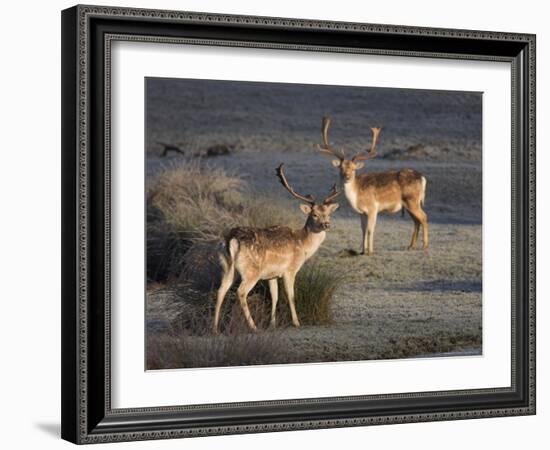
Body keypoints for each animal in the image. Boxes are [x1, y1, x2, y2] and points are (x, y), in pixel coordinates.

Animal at [215, 163, 340, 332]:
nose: (326, 224)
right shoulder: (290, 270)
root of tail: (232, 239)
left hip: (227, 266)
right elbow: (291, 296)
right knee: (241, 292)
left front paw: (272, 324)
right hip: (251, 271)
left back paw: (214, 328)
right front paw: (296, 322)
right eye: (314, 214)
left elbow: (275, 297)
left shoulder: (272, 275)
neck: (303, 246)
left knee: (221, 290)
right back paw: (253, 327)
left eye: (328, 214)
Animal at [320, 116, 432, 256]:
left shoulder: (373, 208)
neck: (357, 197)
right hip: (409, 204)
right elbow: (362, 229)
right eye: (341, 168)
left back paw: (425, 246)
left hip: (412, 200)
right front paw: (362, 251)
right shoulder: (362, 212)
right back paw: (411, 246)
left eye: (353, 169)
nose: (347, 177)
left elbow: (370, 229)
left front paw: (370, 251)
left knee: (424, 217)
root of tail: (423, 178)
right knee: (417, 220)